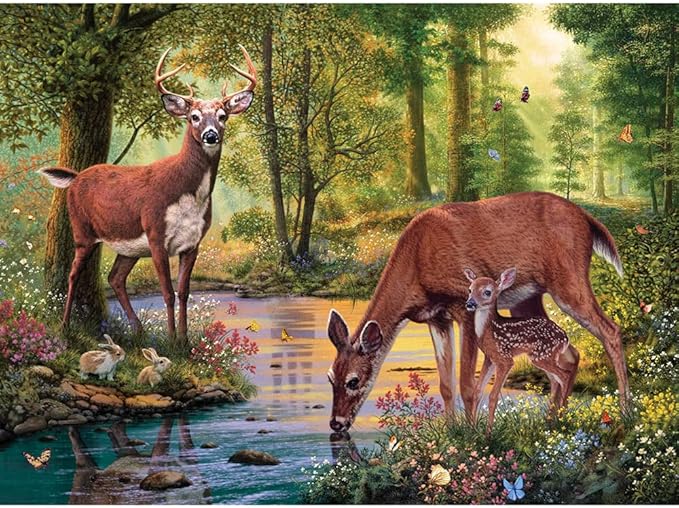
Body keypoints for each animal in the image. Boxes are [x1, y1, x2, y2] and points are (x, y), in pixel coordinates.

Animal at [39, 46, 256, 342]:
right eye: (194, 117)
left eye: (223, 116)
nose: (211, 135)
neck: (189, 195)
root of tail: (75, 177)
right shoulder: (156, 235)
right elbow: (167, 292)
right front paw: (172, 341)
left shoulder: (193, 243)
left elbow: (184, 292)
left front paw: (184, 340)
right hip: (82, 230)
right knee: (73, 274)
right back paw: (65, 327)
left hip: (128, 247)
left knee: (115, 277)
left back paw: (138, 330)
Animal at [464, 267, 580, 435]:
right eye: (470, 290)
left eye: (487, 292)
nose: (470, 303)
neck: (488, 331)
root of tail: (565, 338)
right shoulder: (490, 358)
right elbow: (477, 392)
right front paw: (472, 431)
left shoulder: (504, 359)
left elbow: (493, 396)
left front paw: (488, 434)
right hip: (544, 357)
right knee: (555, 380)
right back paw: (549, 422)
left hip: (542, 356)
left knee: (564, 375)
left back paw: (561, 419)